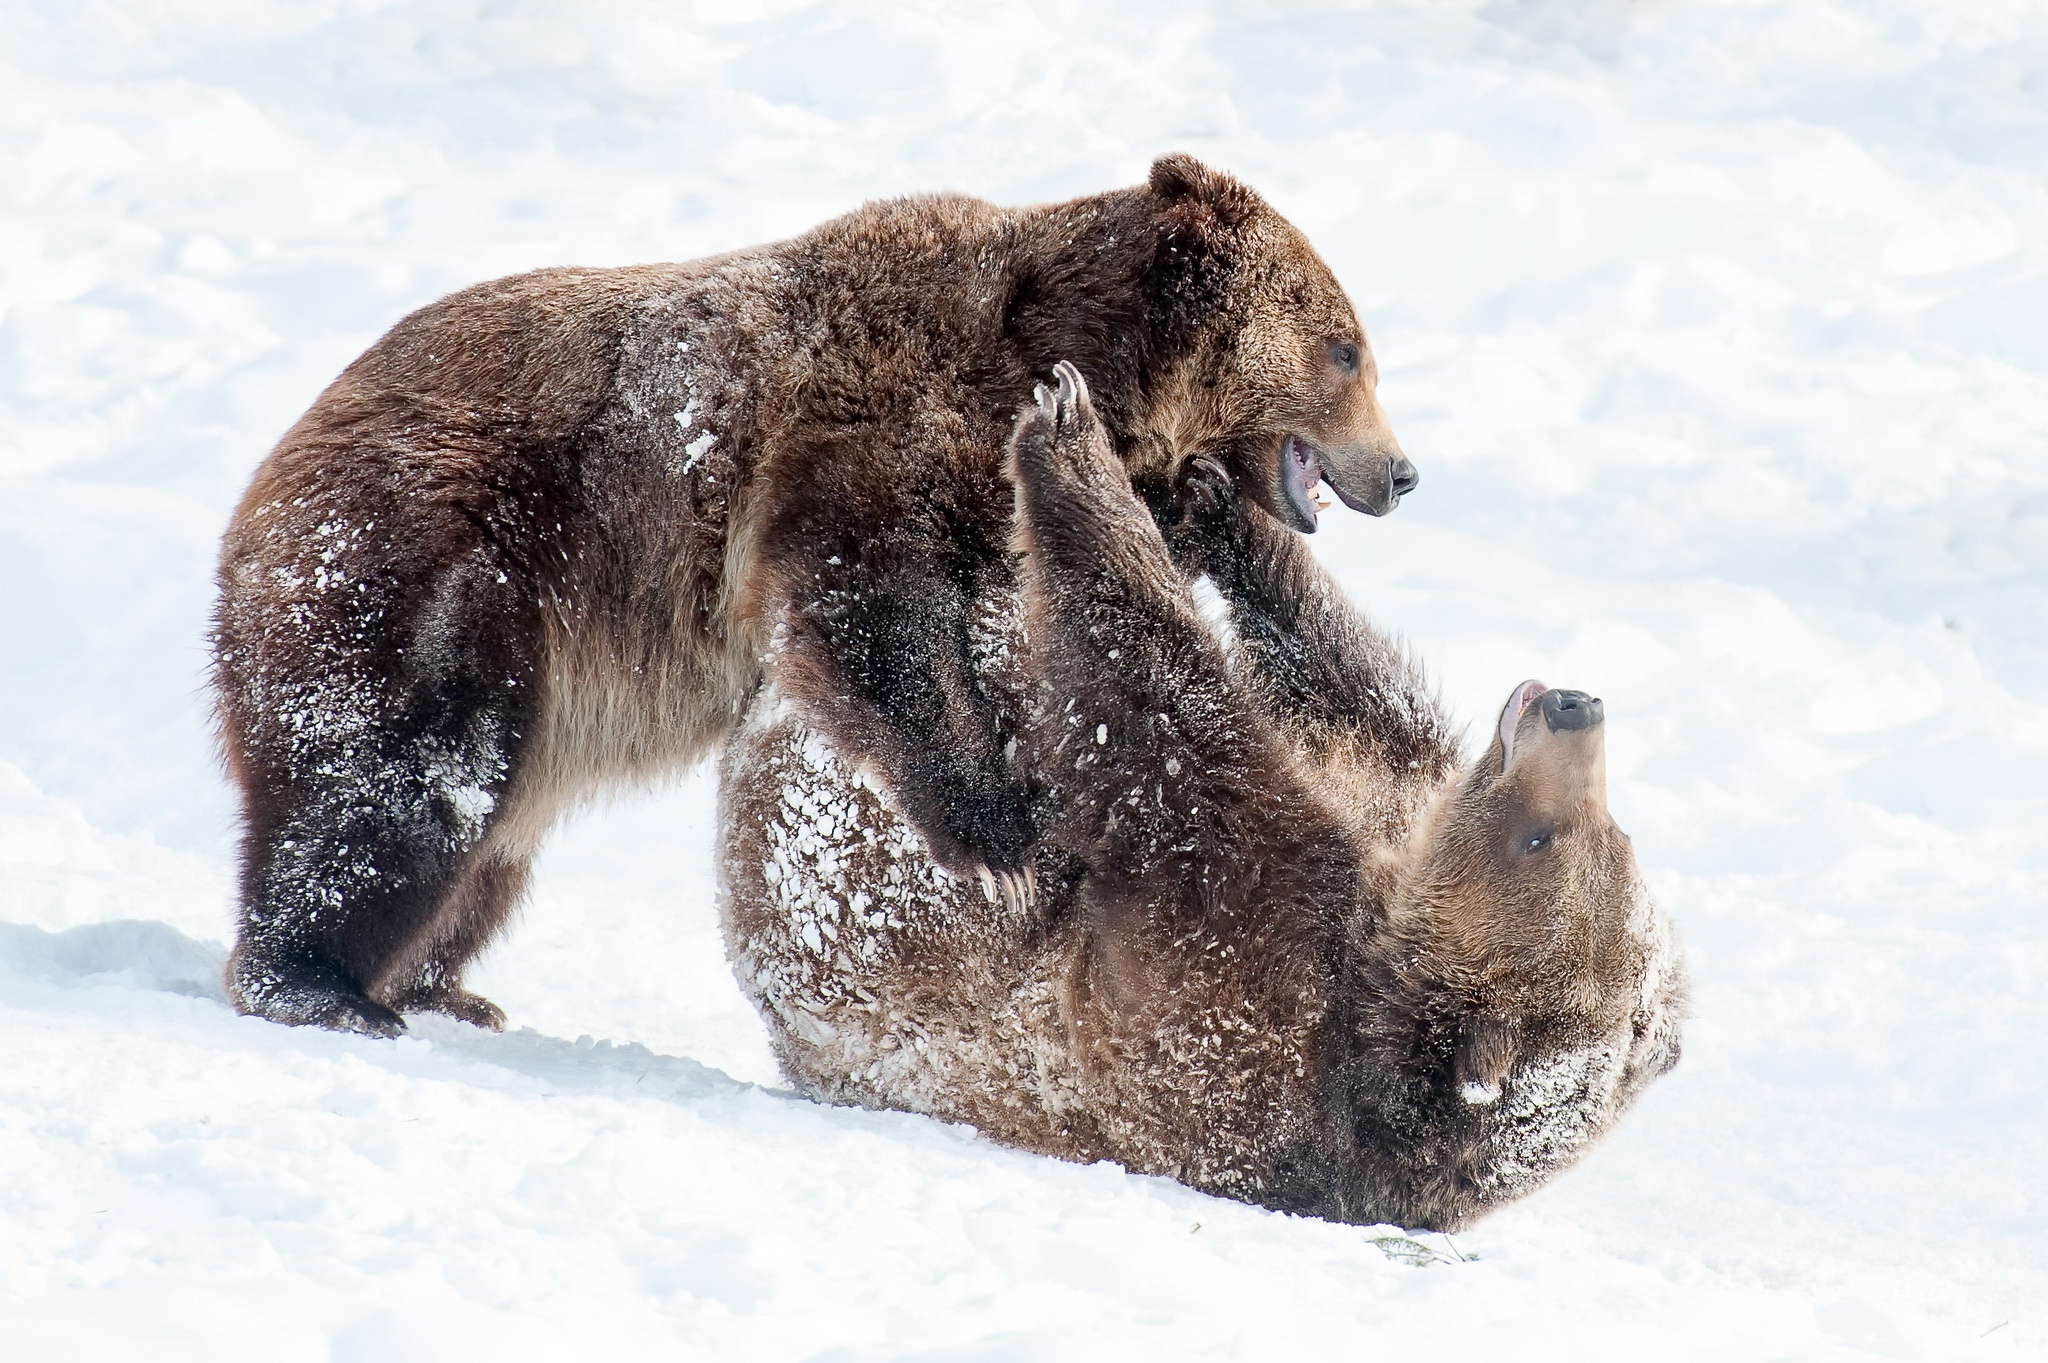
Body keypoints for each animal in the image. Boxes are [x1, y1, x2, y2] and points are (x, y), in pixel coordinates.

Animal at [216, 151, 1417, 1031]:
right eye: (1345, 346)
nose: (1401, 472)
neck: (1054, 352)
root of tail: (270, 468)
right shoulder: (866, 430)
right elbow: (870, 618)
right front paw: (1005, 839)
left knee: (486, 840)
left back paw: (441, 984)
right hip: (446, 552)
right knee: (401, 773)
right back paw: (317, 980)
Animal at [716, 364, 1679, 1227]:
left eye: (1541, 840)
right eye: (1619, 837)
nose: (1572, 705)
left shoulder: (1240, 976)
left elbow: (1159, 711)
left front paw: (1068, 433)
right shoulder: (1379, 788)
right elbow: (1340, 672)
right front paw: (1225, 504)